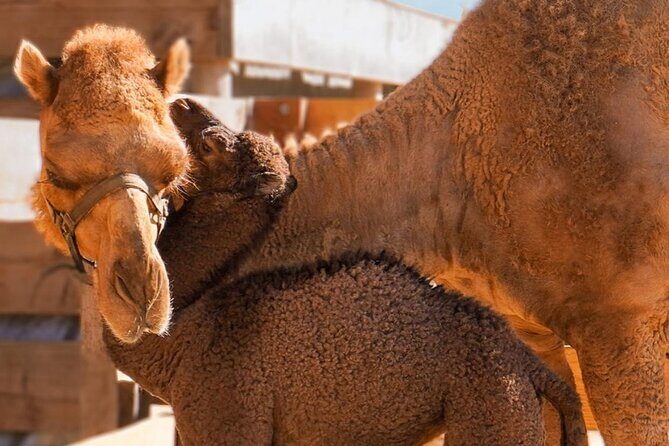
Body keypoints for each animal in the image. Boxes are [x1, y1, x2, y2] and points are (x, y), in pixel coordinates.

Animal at [104, 98, 586, 446]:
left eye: (211, 145)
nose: (182, 102)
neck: (186, 337)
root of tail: (529, 365)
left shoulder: (226, 411)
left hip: (493, 401)